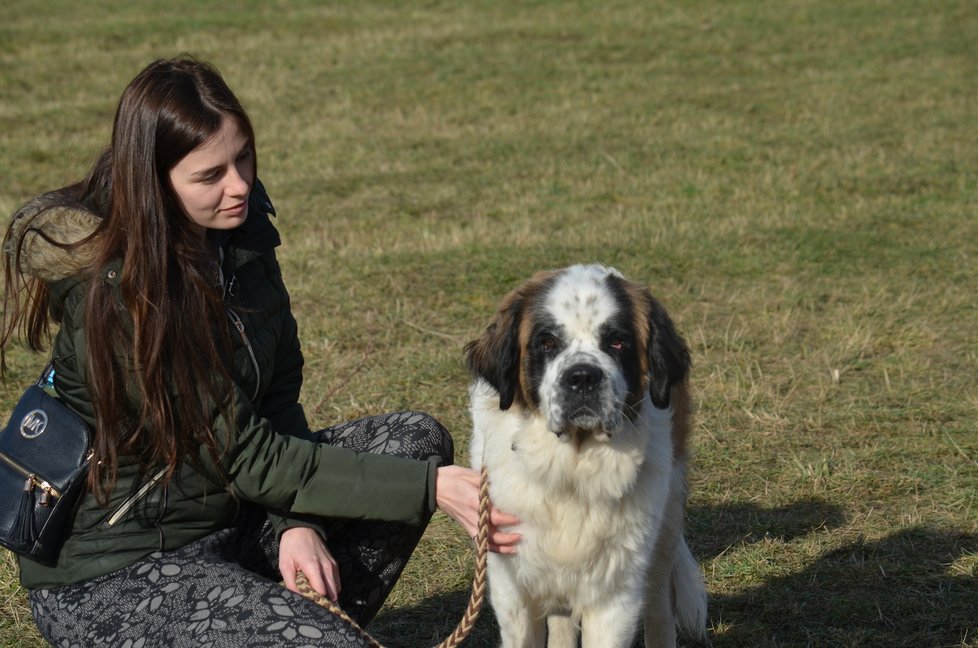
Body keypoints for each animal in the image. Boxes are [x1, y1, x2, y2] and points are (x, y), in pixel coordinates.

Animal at [464, 264, 700, 648]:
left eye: (616, 341)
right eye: (547, 343)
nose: (583, 377)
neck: (570, 472)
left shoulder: (615, 595)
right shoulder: (513, 590)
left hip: (666, 519)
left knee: (659, 604)